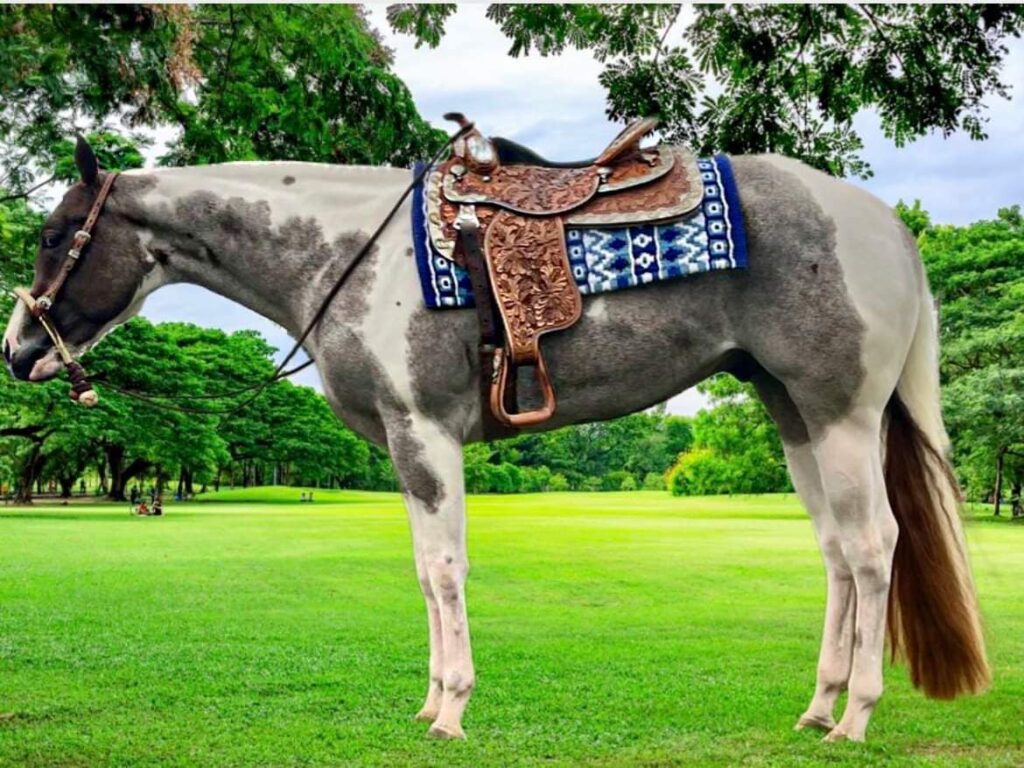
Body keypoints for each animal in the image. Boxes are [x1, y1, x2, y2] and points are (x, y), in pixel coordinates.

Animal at [2, 140, 991, 745]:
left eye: (55, 235)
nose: (18, 351)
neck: (353, 256)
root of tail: (883, 224)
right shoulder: (407, 445)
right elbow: (423, 571)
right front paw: (431, 701)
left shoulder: (424, 431)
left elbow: (445, 571)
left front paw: (451, 710)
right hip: (794, 415)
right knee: (834, 554)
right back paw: (818, 709)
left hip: (844, 416)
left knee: (872, 548)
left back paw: (857, 717)